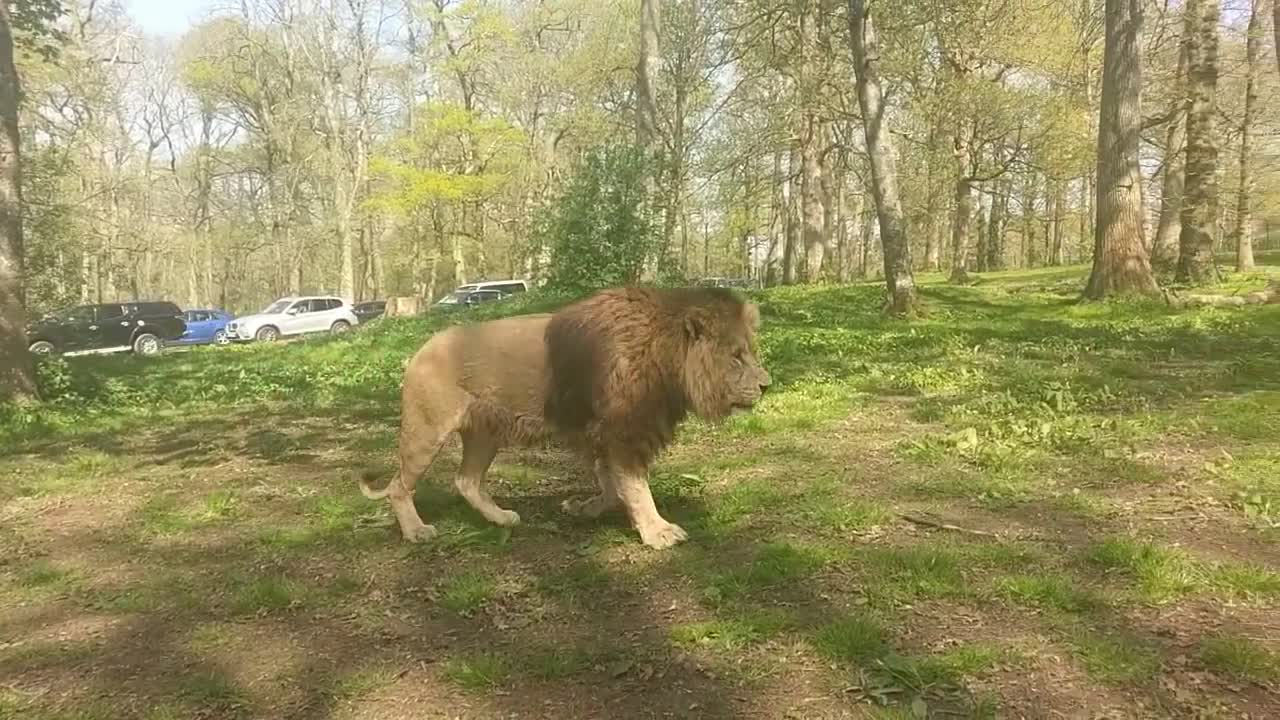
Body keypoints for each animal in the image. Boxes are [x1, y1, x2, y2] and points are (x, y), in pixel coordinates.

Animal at [355, 283, 768, 545]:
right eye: (735, 356)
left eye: (750, 351)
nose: (766, 384)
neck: (666, 360)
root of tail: (418, 350)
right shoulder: (623, 433)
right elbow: (635, 487)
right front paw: (658, 532)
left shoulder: (603, 435)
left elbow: (612, 487)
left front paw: (582, 508)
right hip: (426, 430)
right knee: (400, 486)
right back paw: (416, 531)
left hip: (486, 431)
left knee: (466, 480)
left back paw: (502, 518)